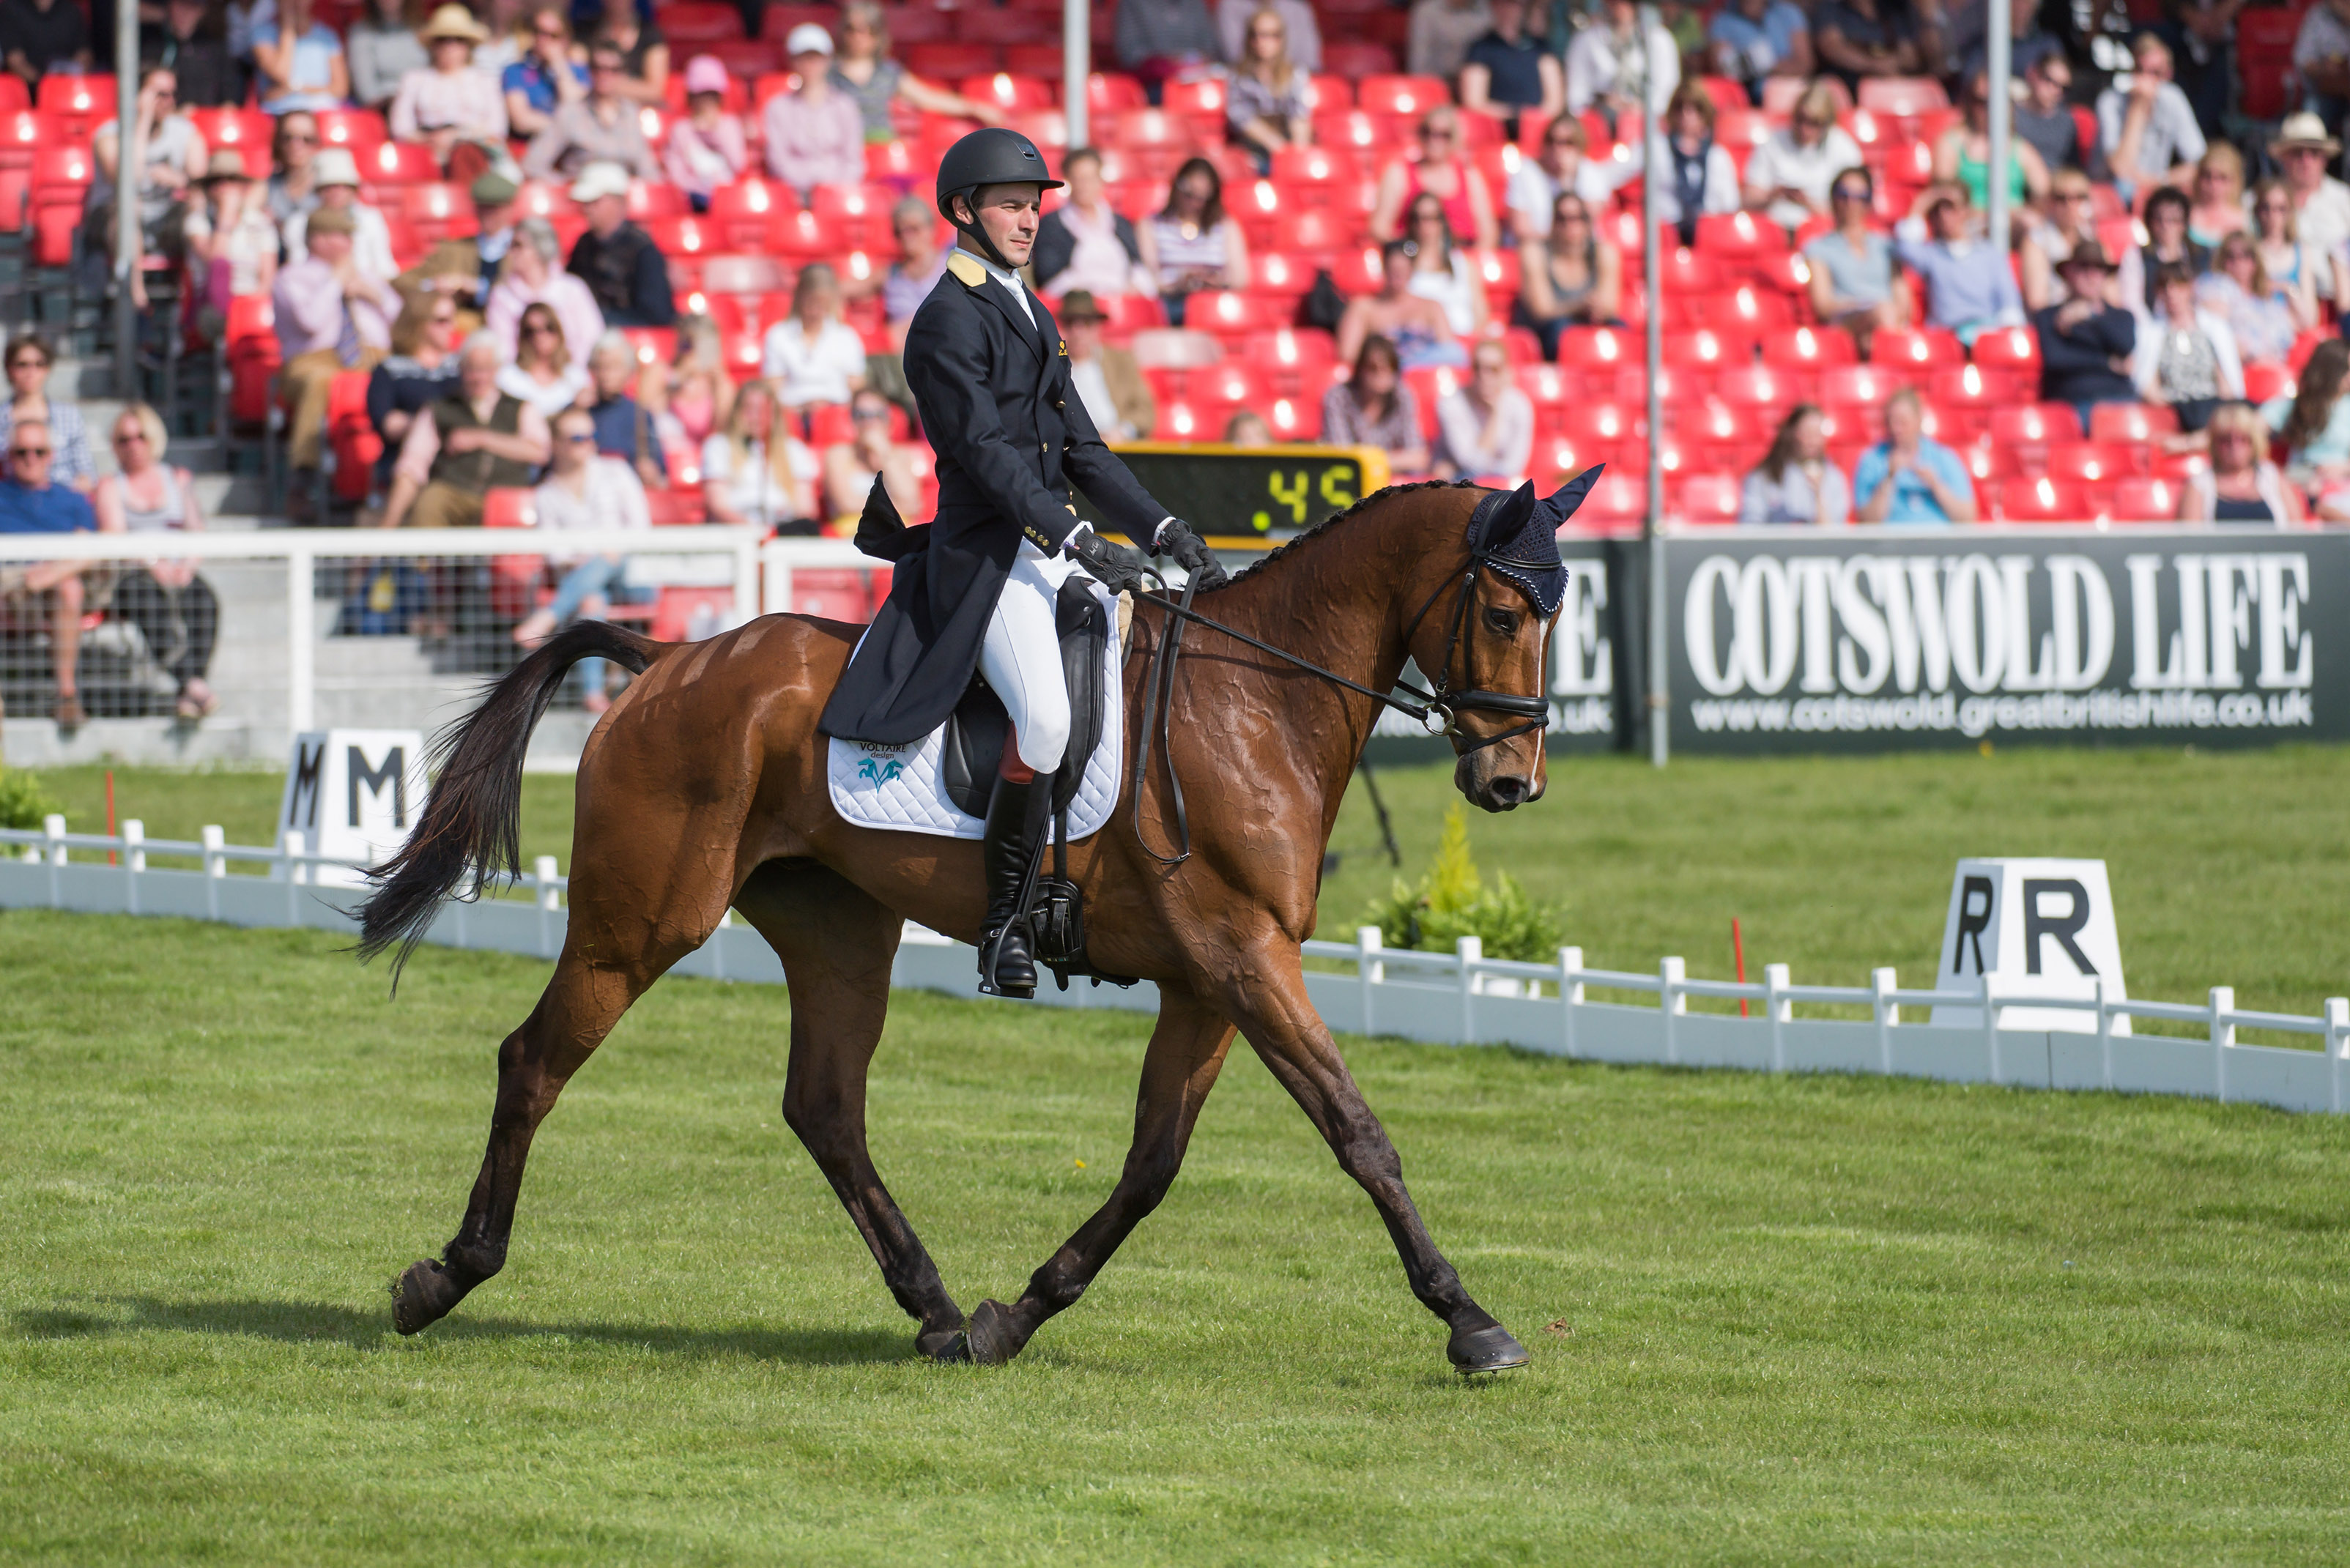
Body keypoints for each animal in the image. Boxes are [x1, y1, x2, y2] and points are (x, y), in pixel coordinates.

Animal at [362, 475, 1560, 1372]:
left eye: (1555, 618)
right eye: (1503, 614)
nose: (1512, 781)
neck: (1256, 698)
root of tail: (669, 662)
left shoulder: (1213, 979)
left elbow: (1152, 1163)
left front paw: (1014, 1316)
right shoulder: (1244, 959)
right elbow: (1358, 1132)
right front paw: (1474, 1322)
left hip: (839, 931)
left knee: (824, 1107)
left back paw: (936, 1309)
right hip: (639, 922)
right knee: (535, 1060)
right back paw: (444, 1275)